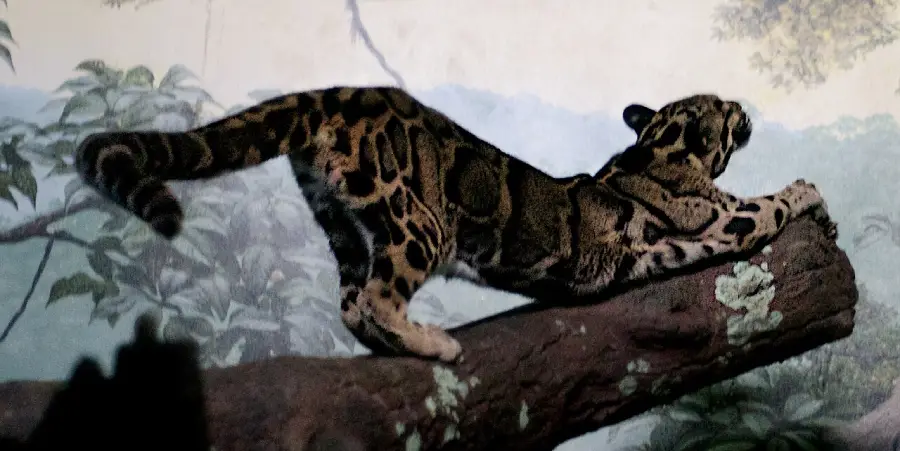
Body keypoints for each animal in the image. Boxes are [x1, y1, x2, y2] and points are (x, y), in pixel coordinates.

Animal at [75, 87, 837, 363]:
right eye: (724, 107)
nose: (743, 108)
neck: (655, 149)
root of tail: (335, 94)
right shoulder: (721, 218)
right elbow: (768, 202)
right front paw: (807, 190)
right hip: (418, 222)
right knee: (378, 296)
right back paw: (434, 343)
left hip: (343, 222)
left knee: (350, 300)